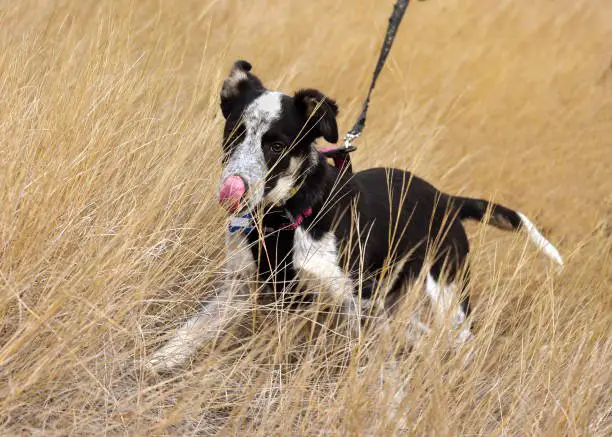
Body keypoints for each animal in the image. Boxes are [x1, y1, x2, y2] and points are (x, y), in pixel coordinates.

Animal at [145, 60, 564, 372]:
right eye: (235, 133)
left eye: (277, 145)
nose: (235, 190)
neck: (283, 218)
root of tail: (446, 199)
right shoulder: (240, 286)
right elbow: (191, 330)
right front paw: (158, 360)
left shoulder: (356, 301)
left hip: (448, 292)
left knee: (462, 341)